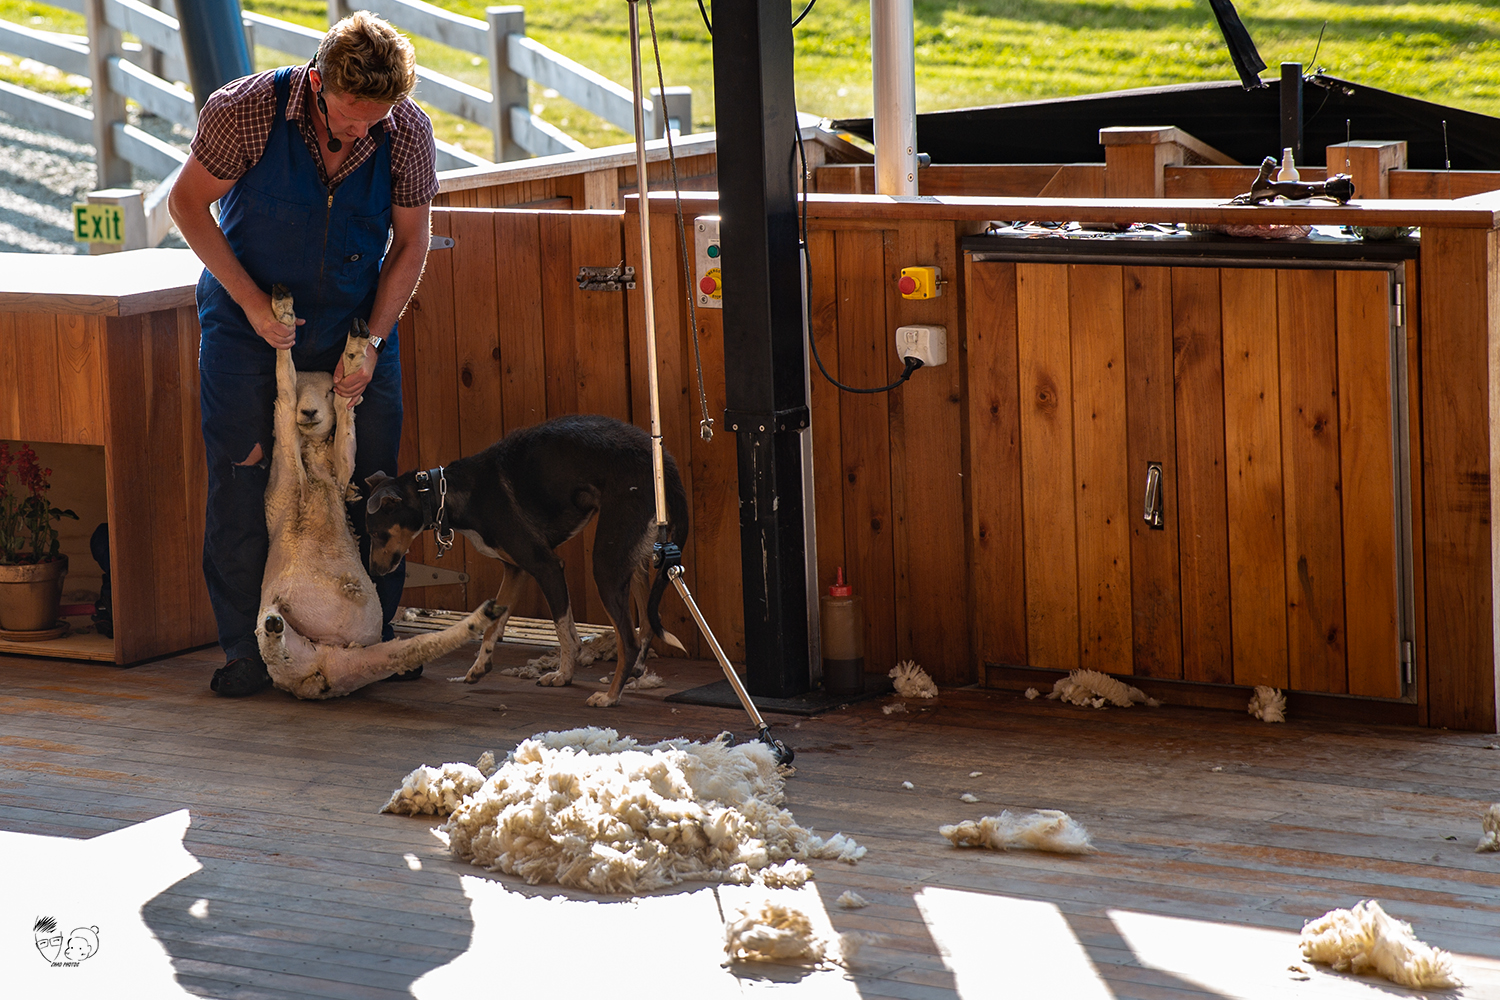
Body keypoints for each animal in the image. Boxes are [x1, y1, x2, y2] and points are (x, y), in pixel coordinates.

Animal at [363, 413, 690, 704]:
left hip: (606, 563)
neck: (446, 492)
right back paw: (633, 673)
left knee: (629, 640)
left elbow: (565, 633)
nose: (373, 572)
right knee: (646, 623)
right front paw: (480, 667)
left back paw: (610, 696)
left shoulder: (547, 567)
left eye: (378, 534)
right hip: (633, 560)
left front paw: (563, 675)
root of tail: (666, 465)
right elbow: (492, 625)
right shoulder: (515, 570)